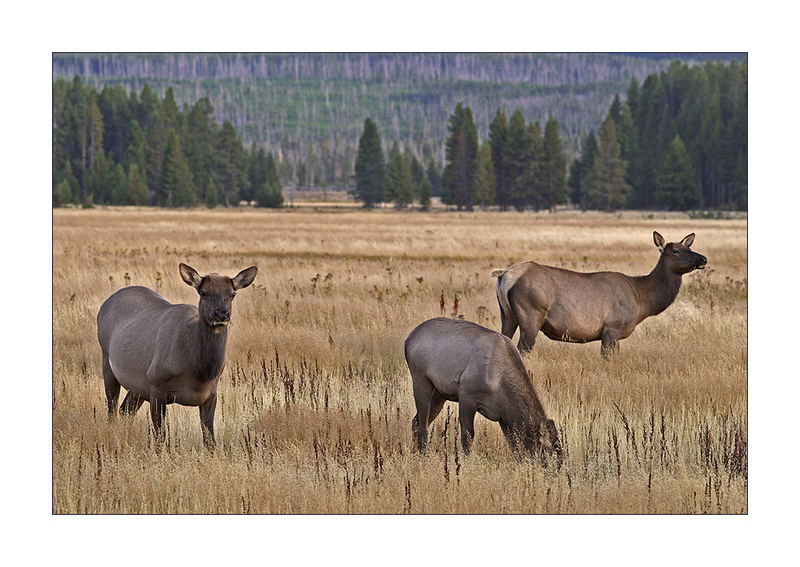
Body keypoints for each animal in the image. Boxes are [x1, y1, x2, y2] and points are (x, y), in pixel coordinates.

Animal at [95, 264, 260, 446]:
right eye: (203, 292)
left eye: (232, 293)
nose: (221, 314)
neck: (200, 373)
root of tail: (105, 304)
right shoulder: (156, 385)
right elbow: (160, 438)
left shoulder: (211, 394)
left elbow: (210, 441)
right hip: (107, 359)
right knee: (112, 409)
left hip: (137, 385)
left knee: (125, 410)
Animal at [404, 318, 560, 464]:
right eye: (546, 448)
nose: (557, 468)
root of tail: (408, 340)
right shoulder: (466, 395)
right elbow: (468, 435)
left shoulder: (503, 417)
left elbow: (512, 443)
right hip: (420, 379)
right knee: (422, 425)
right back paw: (422, 454)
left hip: (439, 393)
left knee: (416, 421)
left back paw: (415, 451)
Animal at [488, 232, 708, 360]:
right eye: (676, 250)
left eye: (689, 247)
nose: (703, 258)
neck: (641, 300)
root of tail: (505, 275)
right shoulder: (611, 327)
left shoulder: (616, 334)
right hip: (530, 314)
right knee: (523, 349)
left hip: (507, 315)